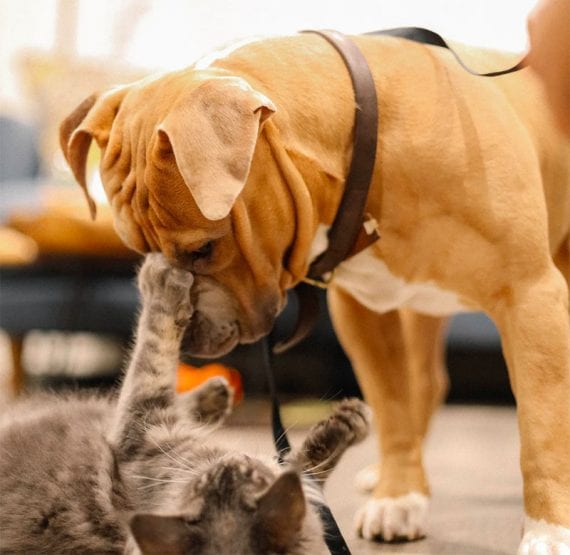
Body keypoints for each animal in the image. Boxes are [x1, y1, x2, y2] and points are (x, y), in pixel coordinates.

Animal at [0, 255, 368, 555]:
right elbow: (153, 351)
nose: (235, 459)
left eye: (249, 475)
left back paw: (213, 396)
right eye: (203, 484)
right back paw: (214, 394)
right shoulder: (142, 432)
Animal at [60, 33, 564, 552]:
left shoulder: (531, 296)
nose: (186, 331)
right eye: (138, 249)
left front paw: (548, 528)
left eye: (202, 249)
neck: (364, 146)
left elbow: (541, 429)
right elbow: (393, 405)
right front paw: (398, 496)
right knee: (424, 384)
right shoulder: (365, 314)